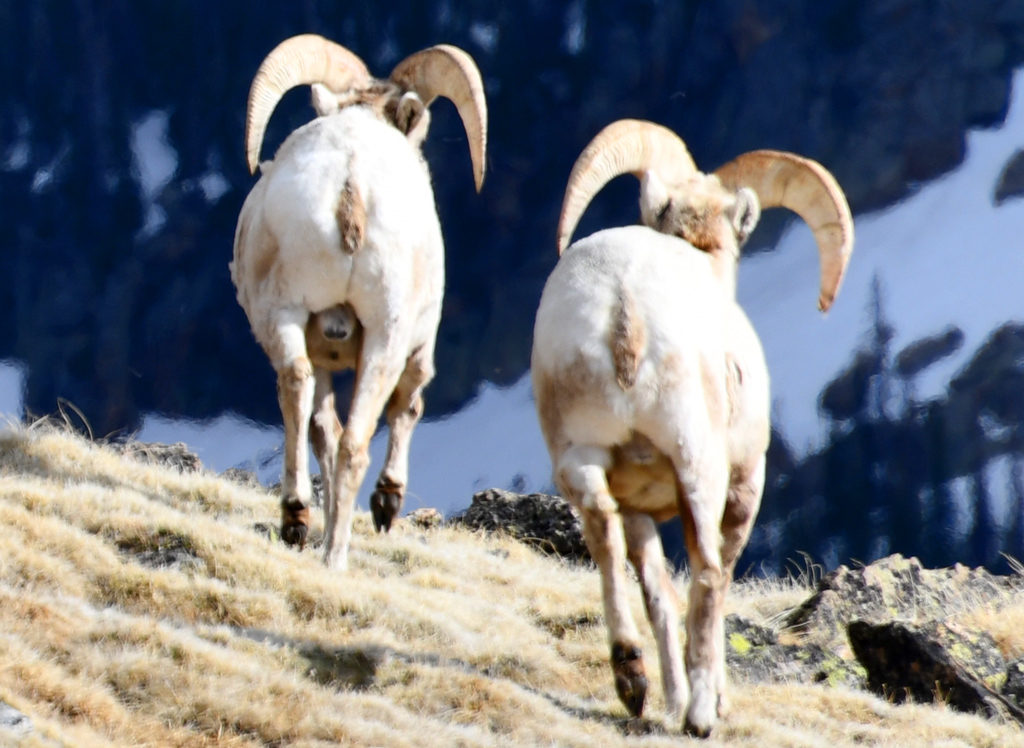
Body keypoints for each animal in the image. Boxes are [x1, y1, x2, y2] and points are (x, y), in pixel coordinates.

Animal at [232, 34, 487, 569]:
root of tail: (349, 186)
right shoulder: (419, 344)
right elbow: (408, 405)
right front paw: (388, 503)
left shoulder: (321, 347)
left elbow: (321, 429)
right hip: (386, 336)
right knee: (356, 440)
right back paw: (336, 552)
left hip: (284, 315)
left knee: (297, 389)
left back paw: (297, 518)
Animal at [532, 120, 851, 733]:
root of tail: (623, 307)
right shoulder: (745, 480)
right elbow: (717, 576)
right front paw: (708, 700)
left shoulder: (638, 503)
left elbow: (656, 588)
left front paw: (669, 696)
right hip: (696, 462)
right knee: (705, 573)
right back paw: (702, 715)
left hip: (580, 457)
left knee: (605, 537)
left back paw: (631, 677)